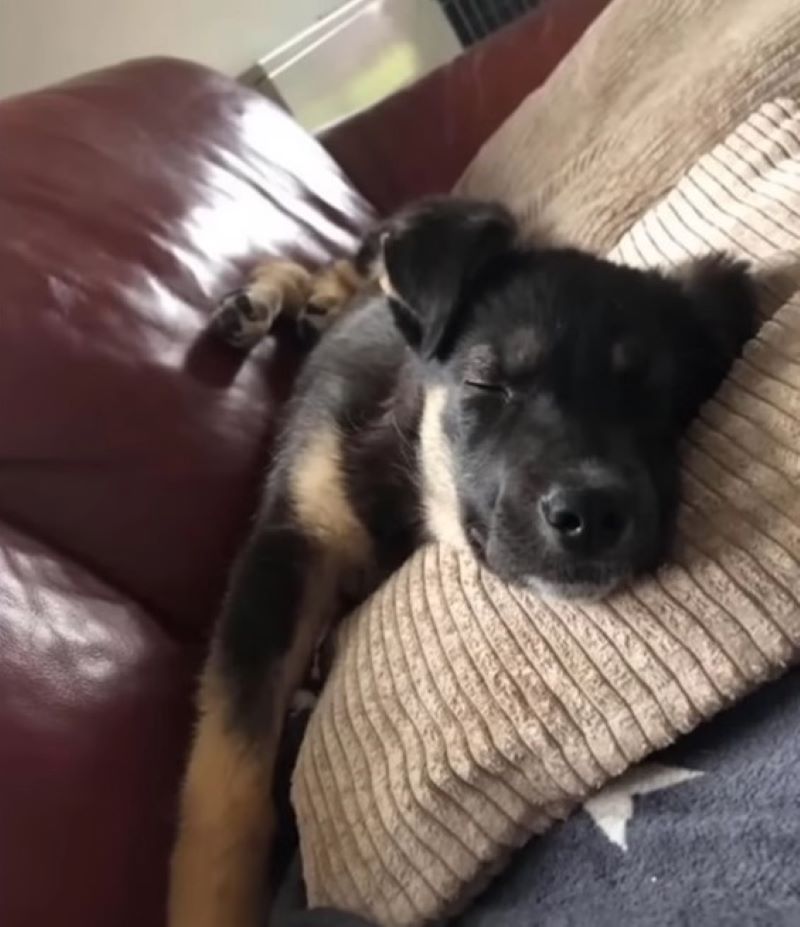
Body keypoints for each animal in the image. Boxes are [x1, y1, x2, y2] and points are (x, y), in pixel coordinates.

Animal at [169, 196, 756, 927]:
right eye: (486, 382)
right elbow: (227, 774)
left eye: (657, 399)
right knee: (334, 259)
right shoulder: (288, 545)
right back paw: (268, 300)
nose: (592, 515)